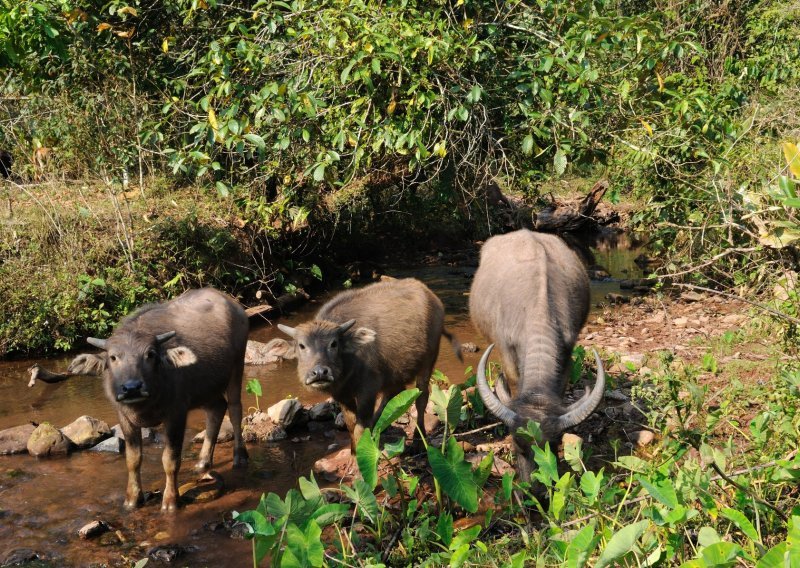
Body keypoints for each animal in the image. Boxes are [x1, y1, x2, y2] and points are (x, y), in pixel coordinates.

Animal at [65, 288, 247, 510]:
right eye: (113, 357)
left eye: (150, 354)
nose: (132, 388)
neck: (146, 404)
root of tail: (234, 305)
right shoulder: (124, 417)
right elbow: (133, 460)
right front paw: (132, 499)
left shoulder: (176, 415)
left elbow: (170, 460)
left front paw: (170, 501)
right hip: (207, 387)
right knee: (217, 409)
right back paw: (203, 462)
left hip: (237, 365)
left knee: (235, 408)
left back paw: (240, 456)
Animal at [264, 278, 460, 450]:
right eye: (302, 345)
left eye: (334, 343)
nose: (319, 372)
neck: (347, 366)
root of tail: (432, 297)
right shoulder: (342, 395)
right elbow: (351, 424)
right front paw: (354, 451)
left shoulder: (368, 390)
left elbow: (360, 426)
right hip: (394, 373)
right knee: (394, 394)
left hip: (428, 361)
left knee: (421, 396)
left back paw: (419, 440)